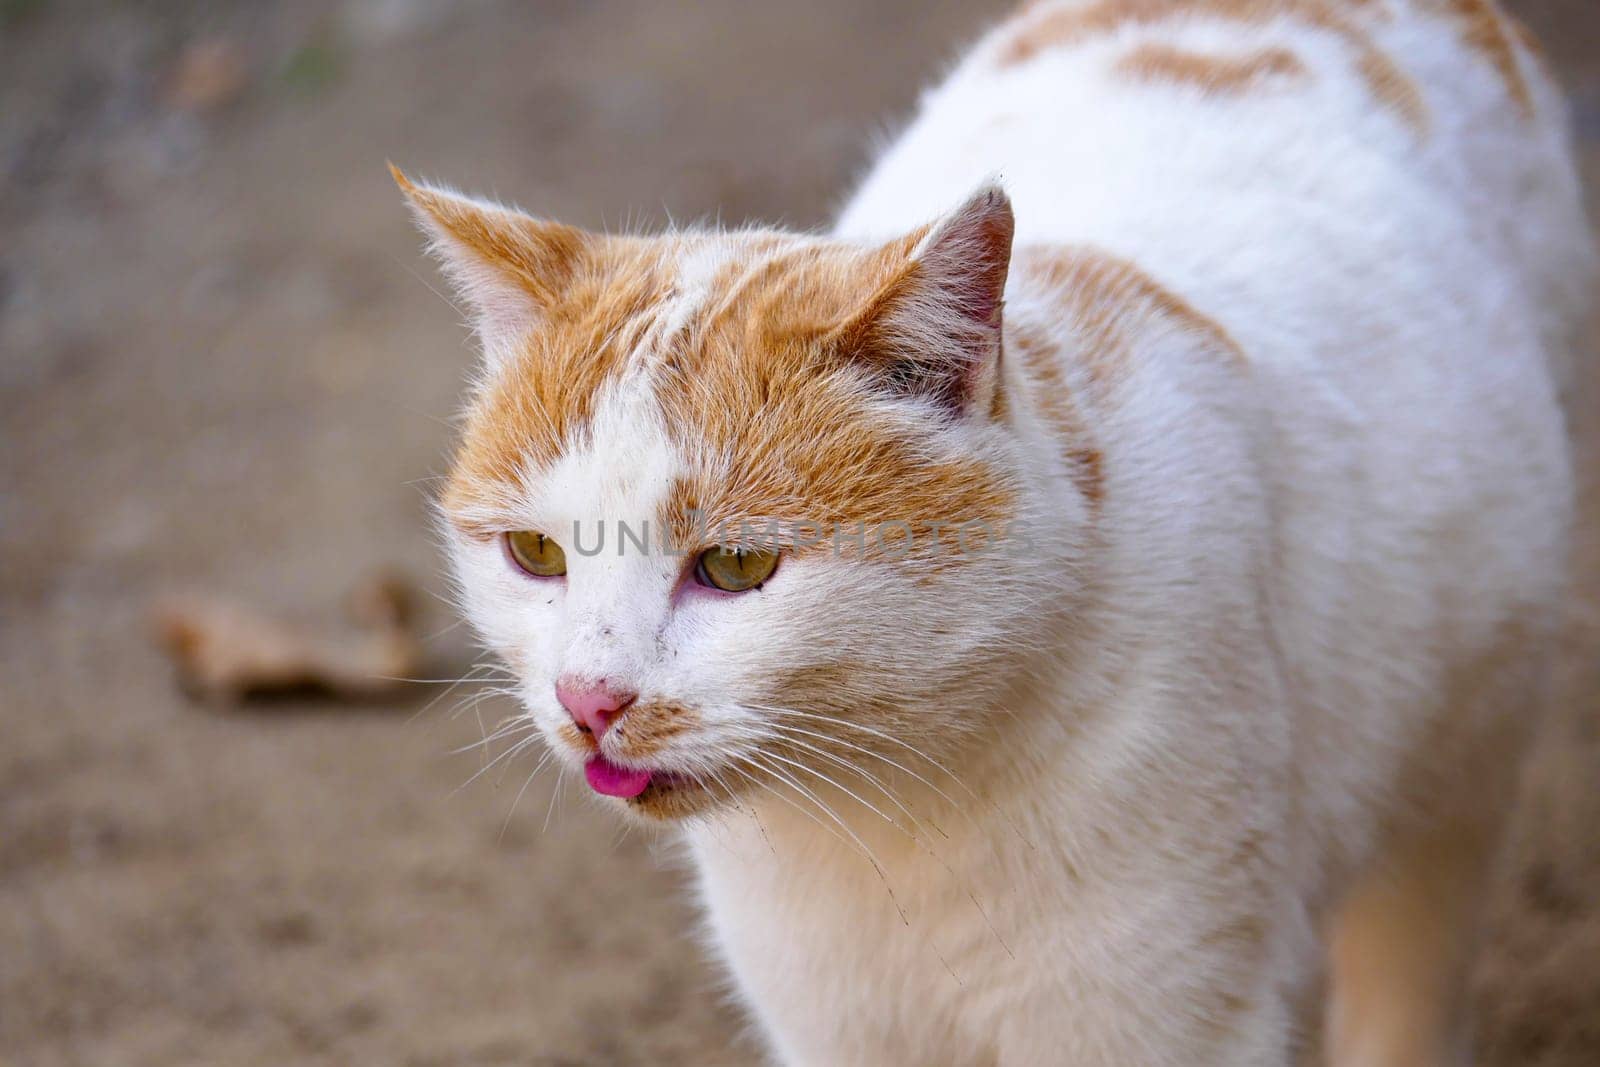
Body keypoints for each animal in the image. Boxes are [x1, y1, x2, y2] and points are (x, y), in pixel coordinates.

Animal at [393, 2, 1593, 1062]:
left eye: (734, 565)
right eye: (536, 555)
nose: (589, 699)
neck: (894, 816)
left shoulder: (1161, 1012)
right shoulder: (833, 1019)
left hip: (1462, 760)